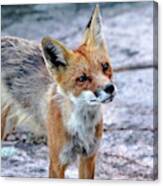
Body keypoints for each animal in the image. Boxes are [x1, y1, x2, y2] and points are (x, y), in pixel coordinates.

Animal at [0, 4, 116, 179]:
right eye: (82, 78)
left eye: (105, 66)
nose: (110, 88)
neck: (81, 128)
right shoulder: (57, 163)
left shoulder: (88, 157)